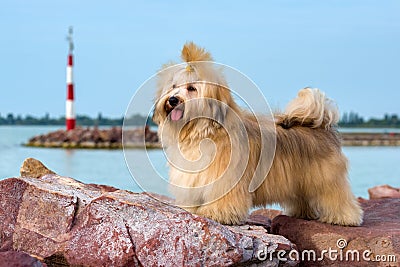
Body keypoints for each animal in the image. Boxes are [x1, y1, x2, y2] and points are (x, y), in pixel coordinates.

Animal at [152, 42, 362, 226]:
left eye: (192, 88)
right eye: (173, 87)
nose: (172, 100)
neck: (203, 131)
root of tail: (319, 125)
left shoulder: (227, 180)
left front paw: (219, 214)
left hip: (327, 179)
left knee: (337, 197)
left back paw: (345, 217)